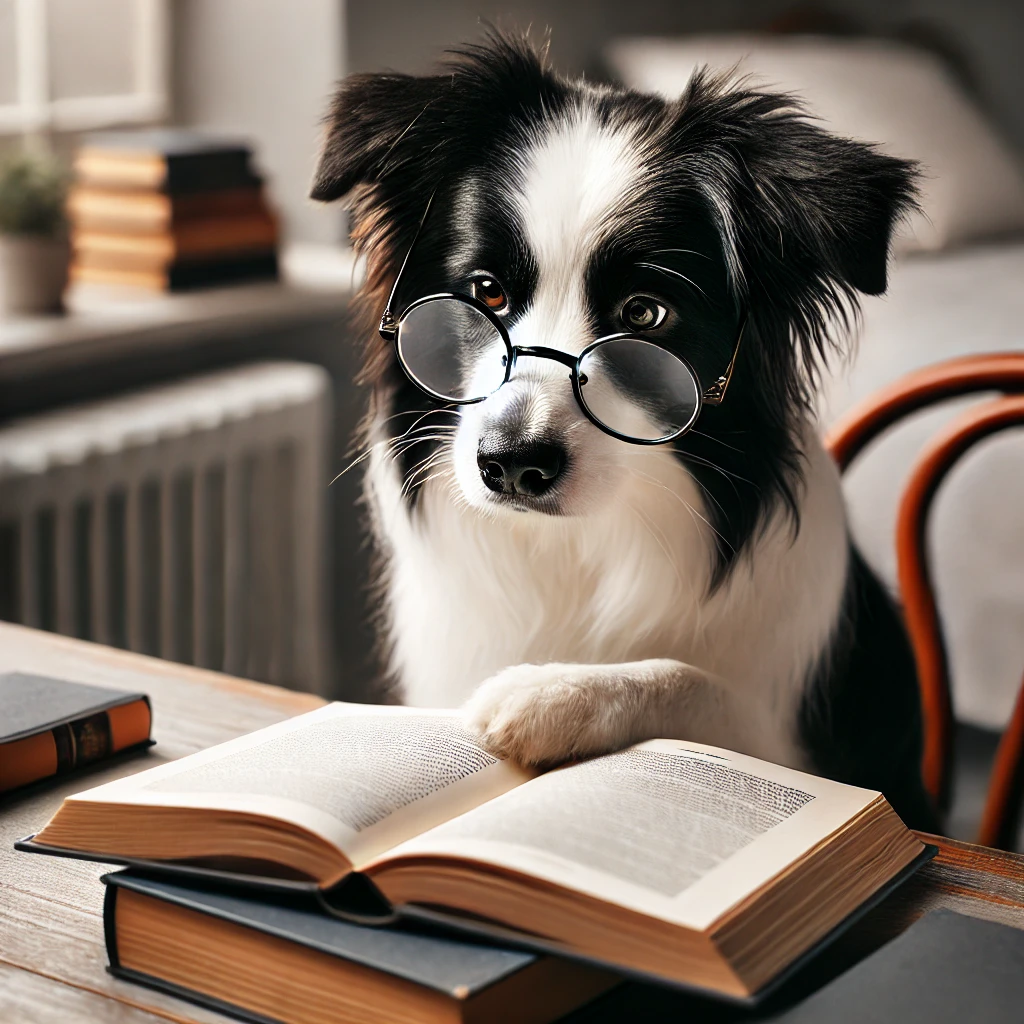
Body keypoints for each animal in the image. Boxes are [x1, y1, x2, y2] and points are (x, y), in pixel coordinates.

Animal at [309, 36, 937, 831]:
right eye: (486, 292)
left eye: (645, 314)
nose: (512, 466)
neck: (582, 544)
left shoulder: (819, 750)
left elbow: (695, 685)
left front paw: (555, 693)